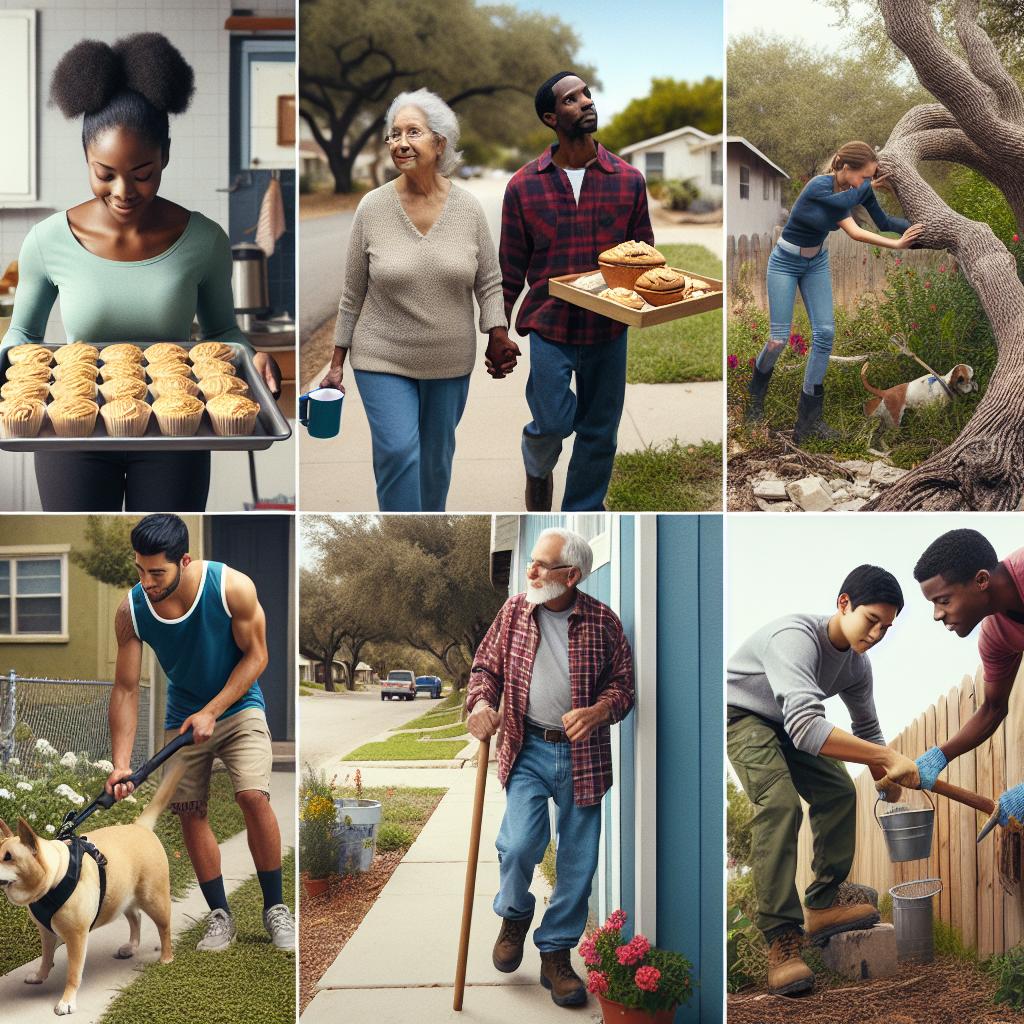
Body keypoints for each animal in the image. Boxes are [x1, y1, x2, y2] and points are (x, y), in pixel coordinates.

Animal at [0, 761, 186, 1015]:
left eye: (9, 857)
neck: (55, 874)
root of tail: (141, 826)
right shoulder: (46, 932)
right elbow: (46, 957)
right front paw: (40, 976)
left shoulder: (77, 937)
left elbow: (73, 973)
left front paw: (67, 1001)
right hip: (122, 895)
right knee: (135, 916)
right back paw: (131, 946)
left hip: (154, 899)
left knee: (164, 928)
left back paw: (166, 957)